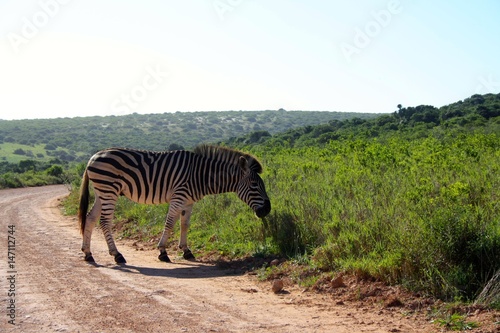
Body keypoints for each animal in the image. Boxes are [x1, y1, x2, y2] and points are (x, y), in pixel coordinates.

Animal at [77, 144, 270, 264]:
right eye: (254, 185)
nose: (267, 210)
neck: (202, 175)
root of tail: (92, 157)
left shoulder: (188, 202)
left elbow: (184, 225)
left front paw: (186, 250)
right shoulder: (179, 197)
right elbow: (169, 224)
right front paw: (162, 251)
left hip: (102, 193)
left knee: (90, 218)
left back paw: (88, 253)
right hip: (109, 190)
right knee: (104, 222)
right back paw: (117, 255)